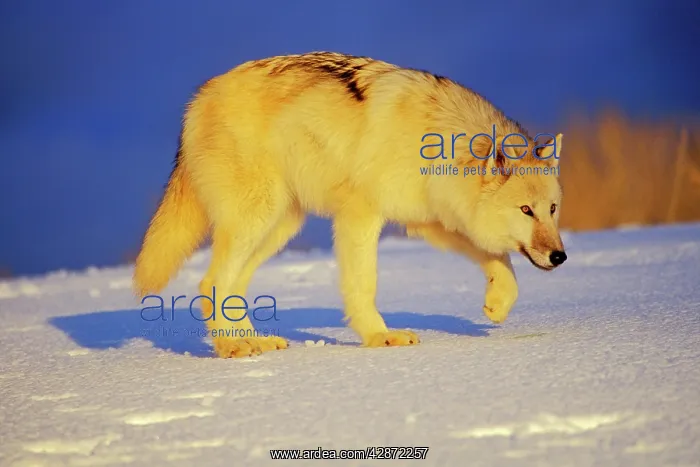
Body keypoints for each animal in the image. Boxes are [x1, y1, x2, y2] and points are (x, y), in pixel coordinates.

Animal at [132, 51, 567, 358]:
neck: (434, 132)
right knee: (210, 283)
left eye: (551, 209)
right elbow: (363, 283)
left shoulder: (426, 219)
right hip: (257, 216)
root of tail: (198, 96)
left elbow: (499, 260)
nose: (560, 257)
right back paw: (232, 347)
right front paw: (379, 336)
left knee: (232, 286)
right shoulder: (361, 214)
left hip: (279, 227)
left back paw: (257, 342)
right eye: (525, 211)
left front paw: (497, 304)